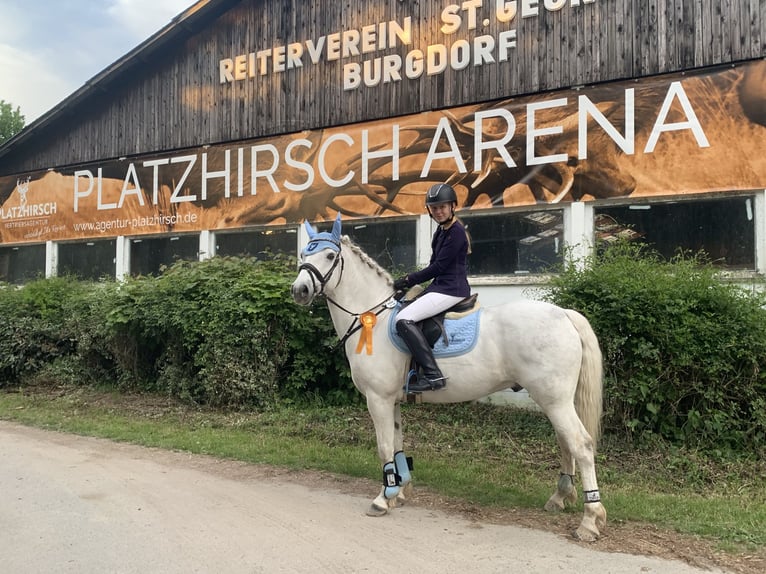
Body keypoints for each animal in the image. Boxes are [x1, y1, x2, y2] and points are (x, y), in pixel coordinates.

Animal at [292, 215, 608, 540]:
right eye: (303, 254)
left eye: (330, 256)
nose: (299, 290)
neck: (373, 319)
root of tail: (564, 314)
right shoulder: (391, 400)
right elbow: (397, 443)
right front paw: (399, 493)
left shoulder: (378, 399)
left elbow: (383, 447)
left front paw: (383, 498)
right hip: (554, 400)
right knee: (565, 442)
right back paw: (560, 497)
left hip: (554, 400)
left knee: (581, 445)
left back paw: (589, 520)